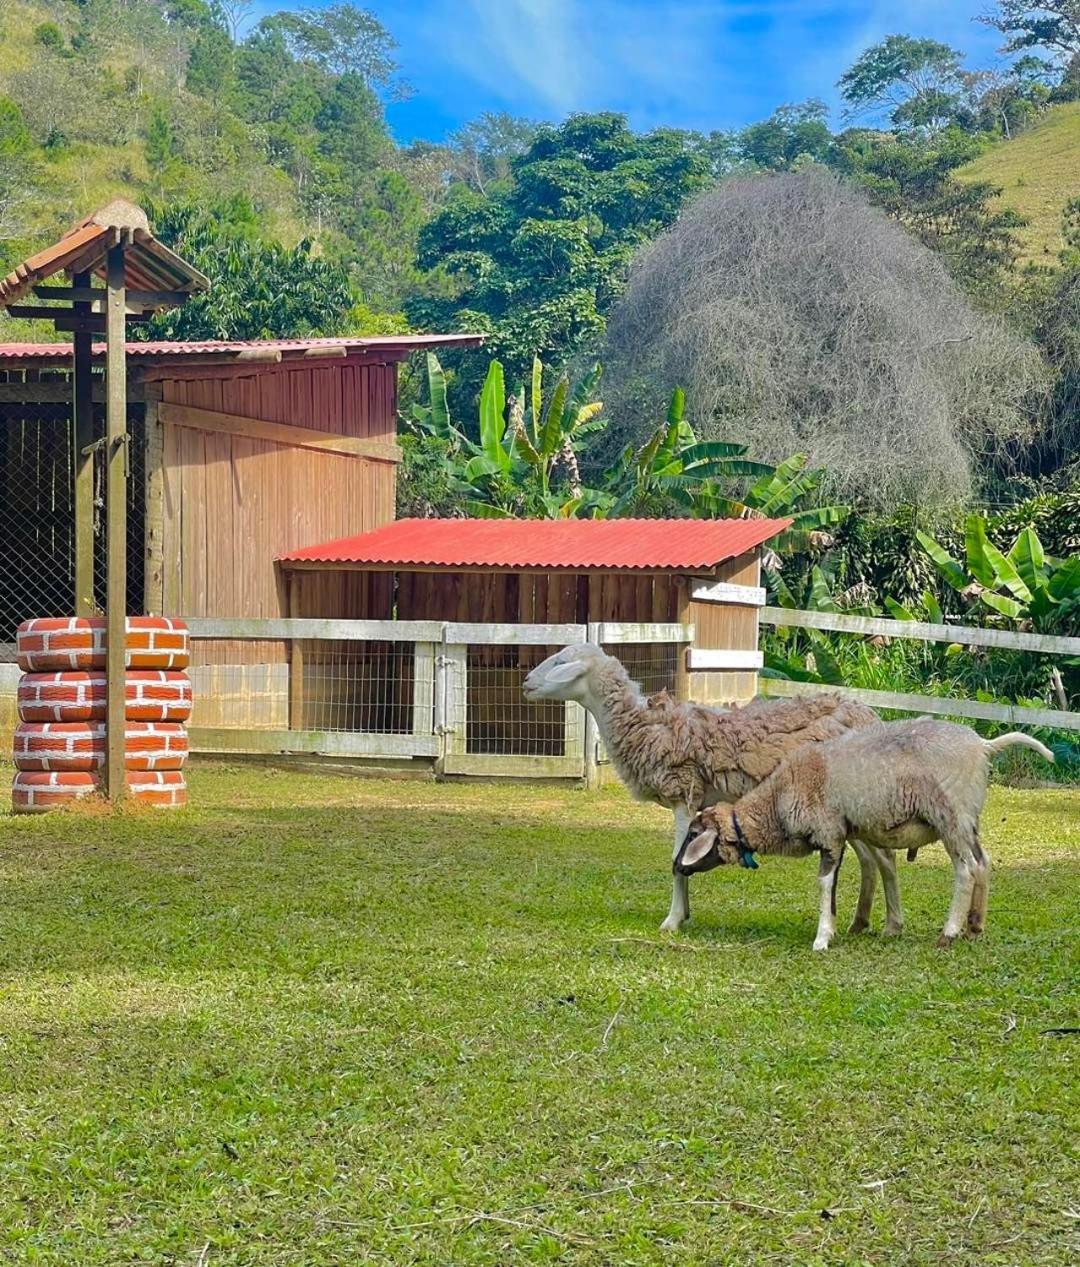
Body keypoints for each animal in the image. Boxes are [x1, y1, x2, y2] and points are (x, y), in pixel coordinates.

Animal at [519, 643, 897, 932]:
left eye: (561, 662)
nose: (525, 682)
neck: (645, 728)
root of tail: (870, 716)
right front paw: (683, 913)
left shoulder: (684, 795)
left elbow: (675, 861)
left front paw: (672, 921)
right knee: (875, 859)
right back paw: (864, 923)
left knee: (882, 857)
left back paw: (886, 924)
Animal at [674, 719, 1054, 947]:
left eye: (693, 835)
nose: (677, 867)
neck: (777, 802)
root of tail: (982, 745)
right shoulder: (847, 833)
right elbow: (859, 877)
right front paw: (854, 926)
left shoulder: (828, 832)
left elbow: (825, 883)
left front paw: (822, 938)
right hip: (968, 820)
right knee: (983, 862)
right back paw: (974, 926)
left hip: (951, 817)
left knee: (966, 869)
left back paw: (949, 932)